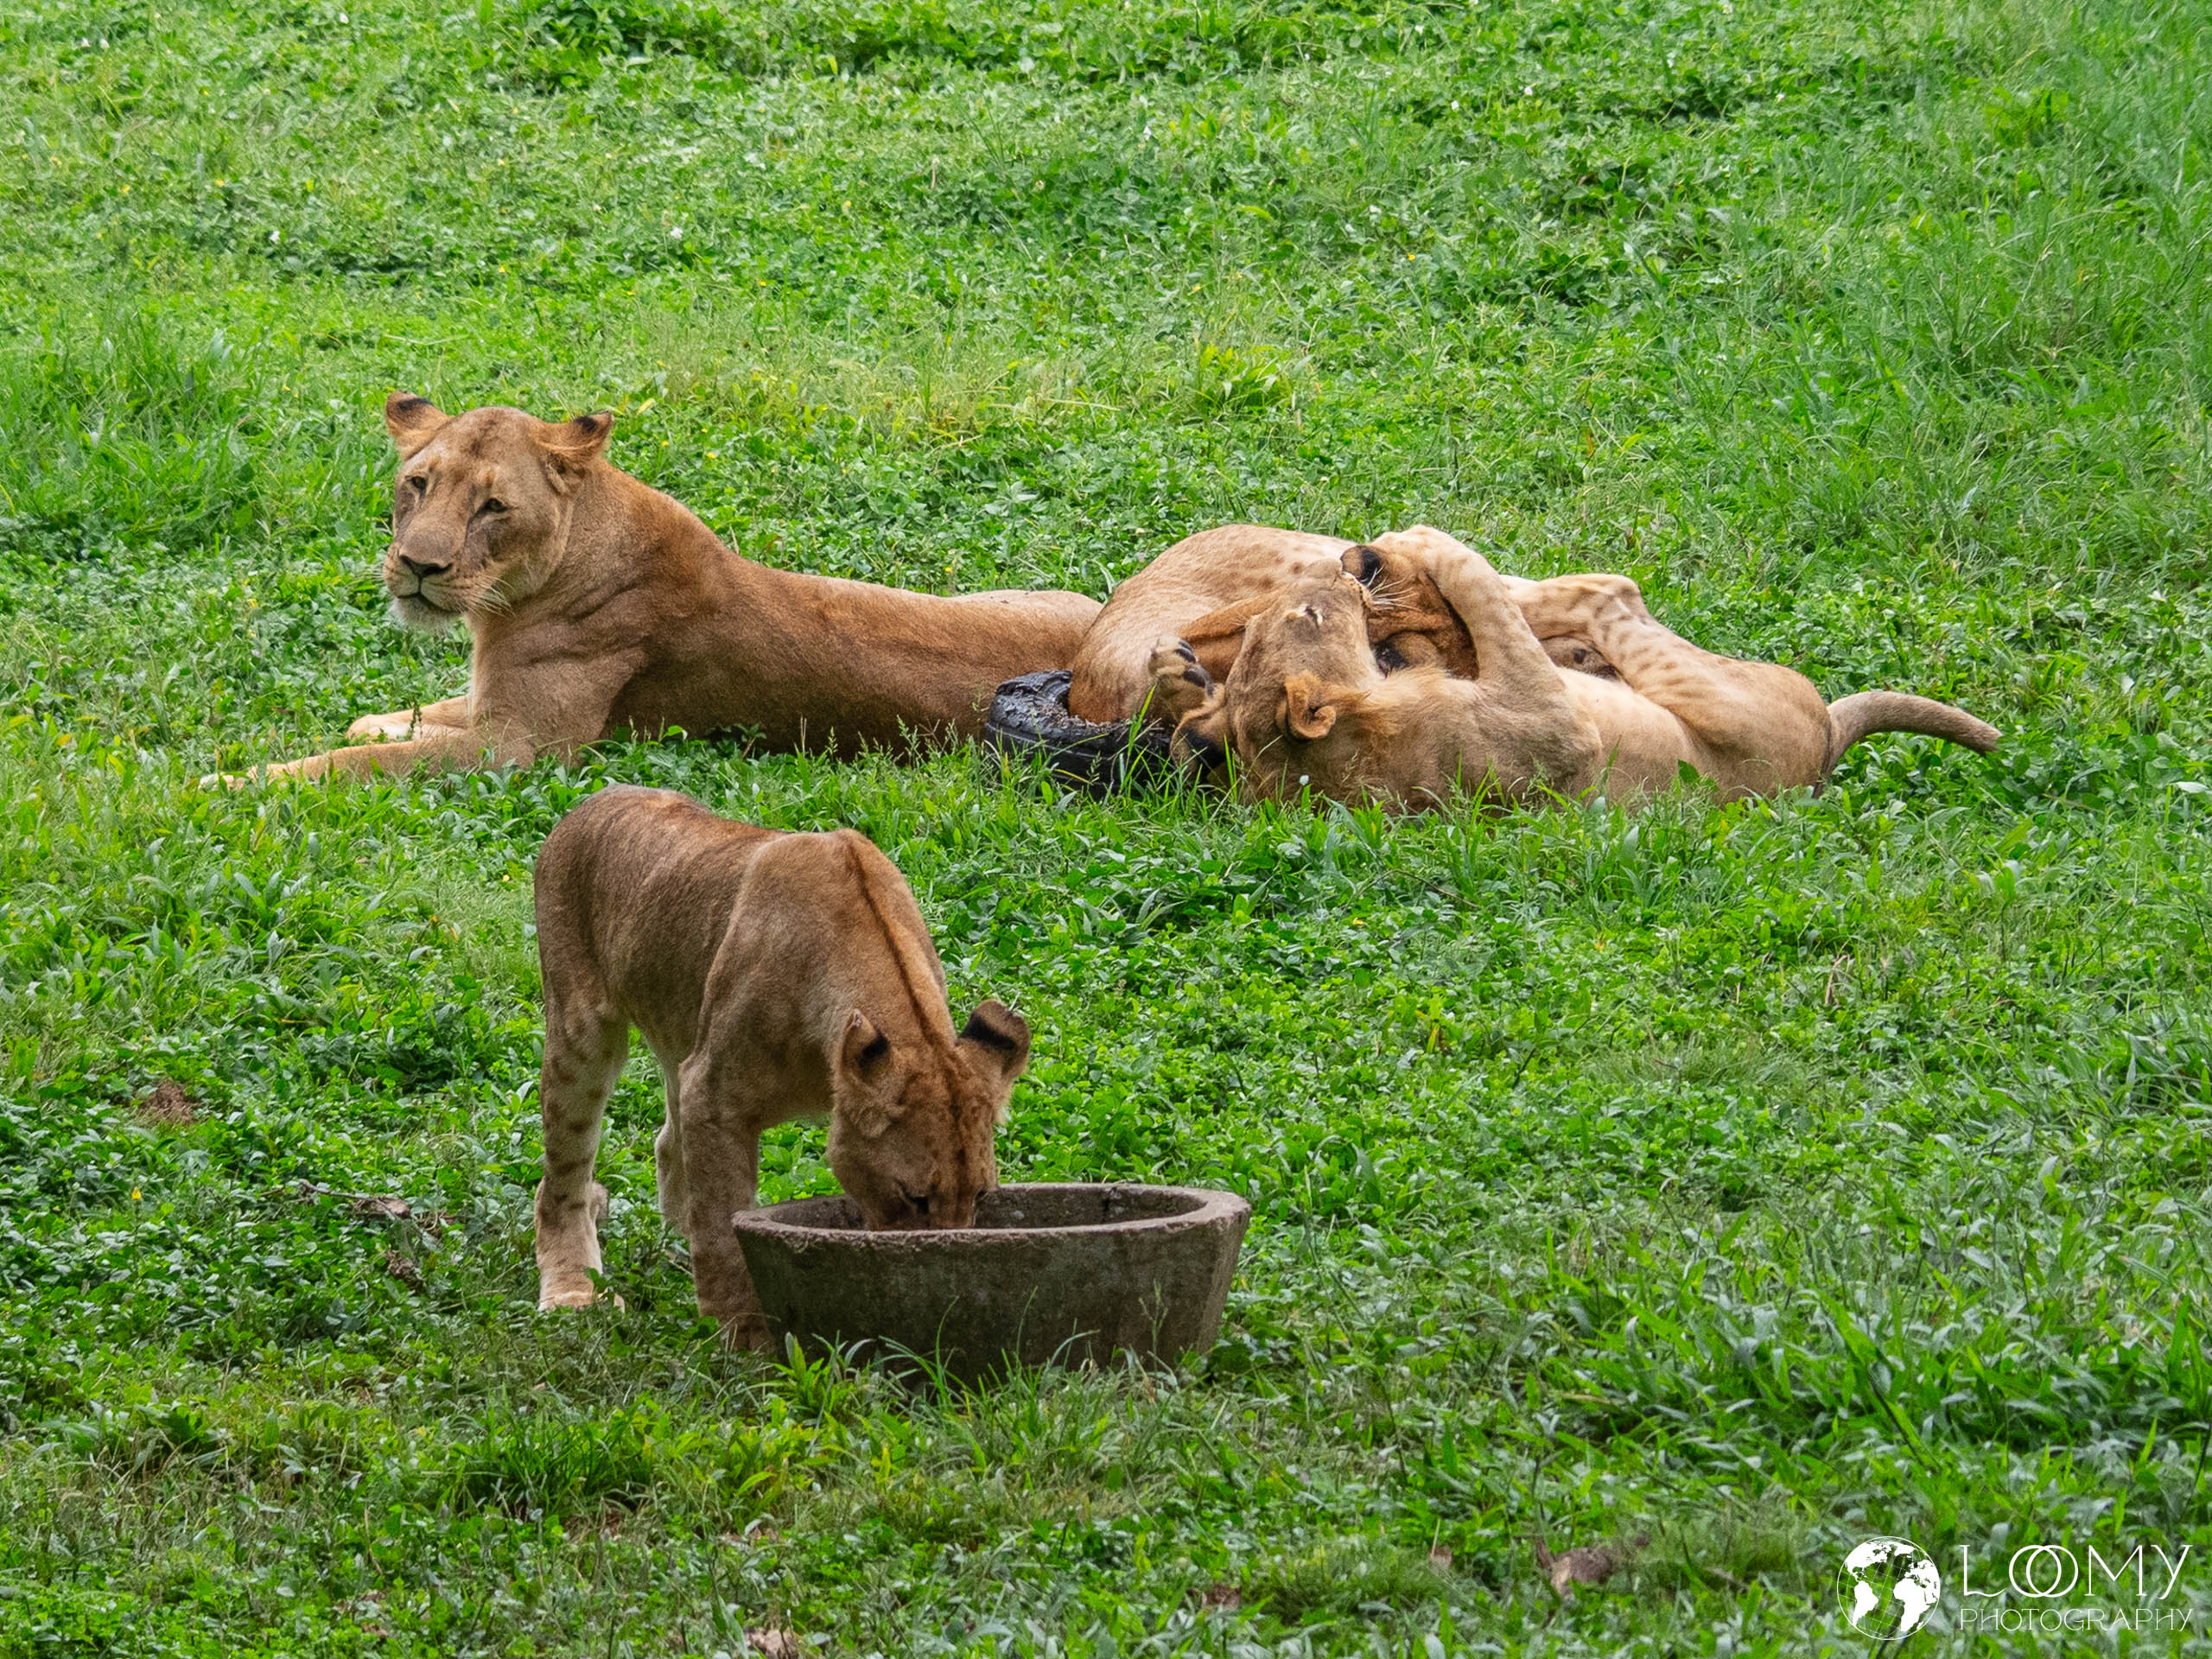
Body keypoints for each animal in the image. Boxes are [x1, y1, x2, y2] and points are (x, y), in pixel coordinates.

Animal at [233, 394, 1101, 781]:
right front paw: (375, 718)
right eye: (418, 484)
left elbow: (350, 766)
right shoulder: (491, 708)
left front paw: (231, 784)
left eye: (493, 507)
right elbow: (409, 719)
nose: (417, 566)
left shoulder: (521, 747)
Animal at [531, 784, 1031, 1346]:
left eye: (981, 1194)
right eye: (916, 1197)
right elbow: (724, 1228)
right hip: (581, 1033)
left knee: (667, 1144)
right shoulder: (713, 1096)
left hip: (679, 1028)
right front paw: (745, 1337)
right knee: (561, 1178)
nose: (942, 1261)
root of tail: (597, 796)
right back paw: (573, 1291)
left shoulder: (699, 1079)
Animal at [1143, 526, 1999, 811]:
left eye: (1284, 622)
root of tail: (1827, 748)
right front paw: (1415, 553)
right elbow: (1485, 594)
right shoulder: (1549, 725)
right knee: (1606, 591)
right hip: (1709, 689)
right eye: (1310, 620)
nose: (1343, 577)